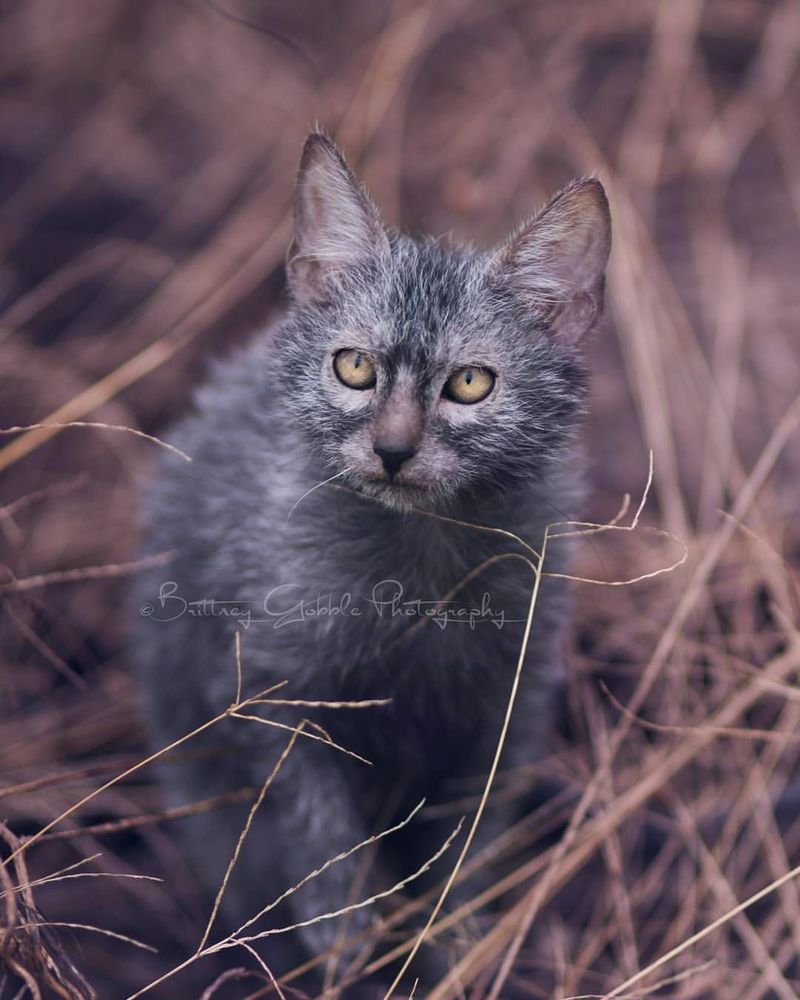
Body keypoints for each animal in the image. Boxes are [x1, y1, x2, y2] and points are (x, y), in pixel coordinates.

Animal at [134, 129, 612, 988]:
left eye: (471, 383)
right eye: (353, 367)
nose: (392, 450)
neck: (418, 569)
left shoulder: (505, 708)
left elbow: (468, 844)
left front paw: (458, 943)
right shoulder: (270, 687)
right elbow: (316, 822)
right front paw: (346, 930)